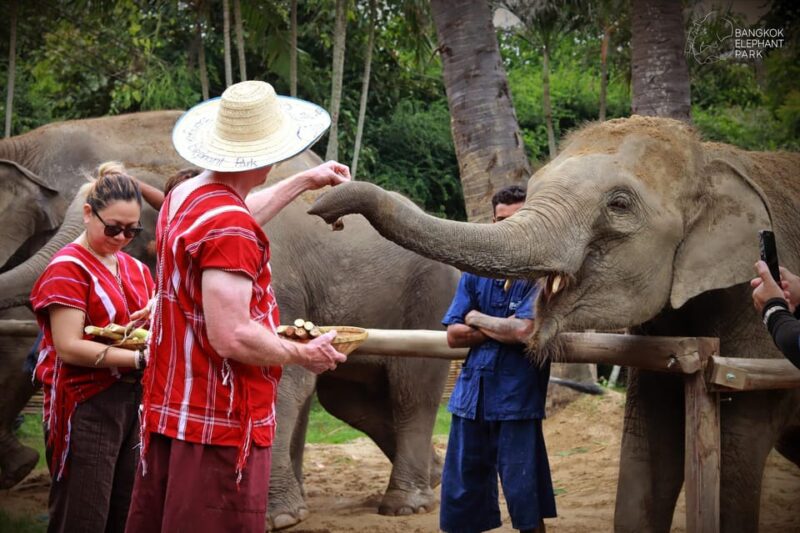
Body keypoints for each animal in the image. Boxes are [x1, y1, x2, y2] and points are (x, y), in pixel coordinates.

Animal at [0, 111, 459, 526]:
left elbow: (286, 379)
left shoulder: (281, 279)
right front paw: (288, 513)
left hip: (430, 294)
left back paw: (406, 505)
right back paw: (432, 479)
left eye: (129, 232)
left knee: (411, 391)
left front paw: (278, 518)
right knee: (353, 401)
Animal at [308, 115, 800, 532]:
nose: (325, 208)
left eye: (620, 204)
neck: (711, 158)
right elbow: (650, 447)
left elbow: (733, 451)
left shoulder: (748, 333)